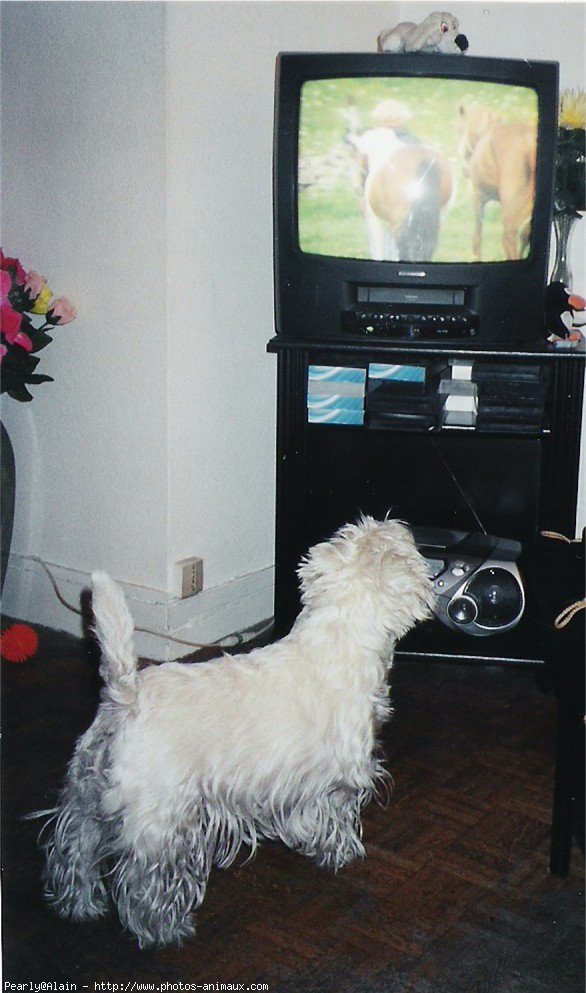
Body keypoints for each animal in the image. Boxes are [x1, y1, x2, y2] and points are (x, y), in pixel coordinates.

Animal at [41, 520, 432, 944]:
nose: (406, 527)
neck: (340, 634)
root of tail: (125, 698)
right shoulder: (342, 779)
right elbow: (337, 819)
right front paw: (342, 853)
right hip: (161, 820)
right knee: (145, 881)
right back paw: (167, 930)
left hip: (86, 797)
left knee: (75, 850)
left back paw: (80, 907)